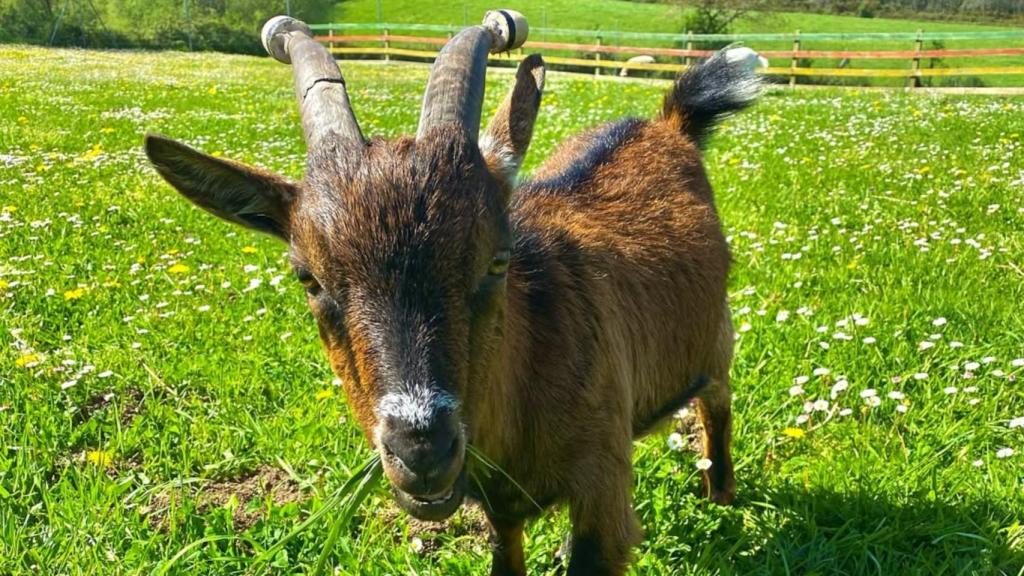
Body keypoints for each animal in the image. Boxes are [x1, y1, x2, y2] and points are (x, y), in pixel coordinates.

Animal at [143, 10, 758, 575]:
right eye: (308, 277)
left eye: (497, 259)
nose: (422, 451)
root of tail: (667, 124)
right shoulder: (496, 501)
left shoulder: (602, 488)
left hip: (717, 340)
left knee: (718, 401)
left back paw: (721, 495)